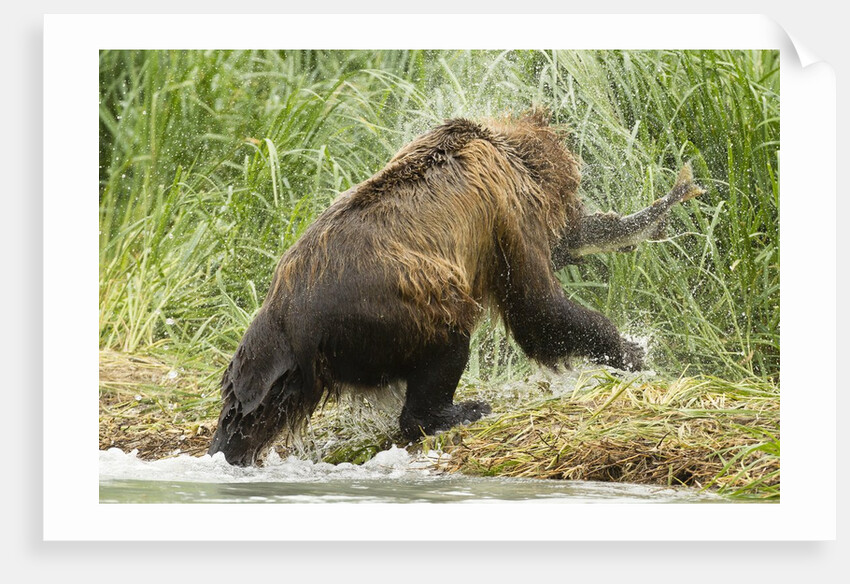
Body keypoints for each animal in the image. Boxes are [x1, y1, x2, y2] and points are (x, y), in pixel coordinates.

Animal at [208, 111, 650, 466]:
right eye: (573, 197)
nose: (578, 227)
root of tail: (290, 316)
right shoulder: (505, 211)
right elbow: (538, 307)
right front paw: (632, 350)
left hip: (274, 365)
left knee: (249, 413)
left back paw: (228, 448)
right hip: (396, 307)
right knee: (447, 342)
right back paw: (461, 410)